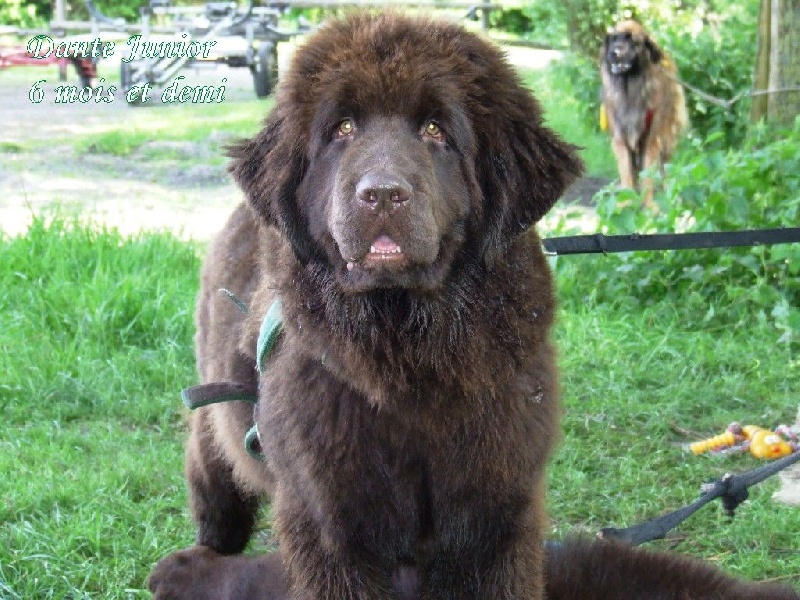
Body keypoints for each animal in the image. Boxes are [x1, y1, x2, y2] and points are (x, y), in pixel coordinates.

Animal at [600, 20, 688, 207]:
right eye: (614, 38)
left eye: (633, 41)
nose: (613, 53)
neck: (630, 87)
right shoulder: (621, 138)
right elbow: (627, 173)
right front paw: (625, 204)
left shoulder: (651, 140)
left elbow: (648, 177)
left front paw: (649, 207)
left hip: (666, 138)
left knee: (663, 169)